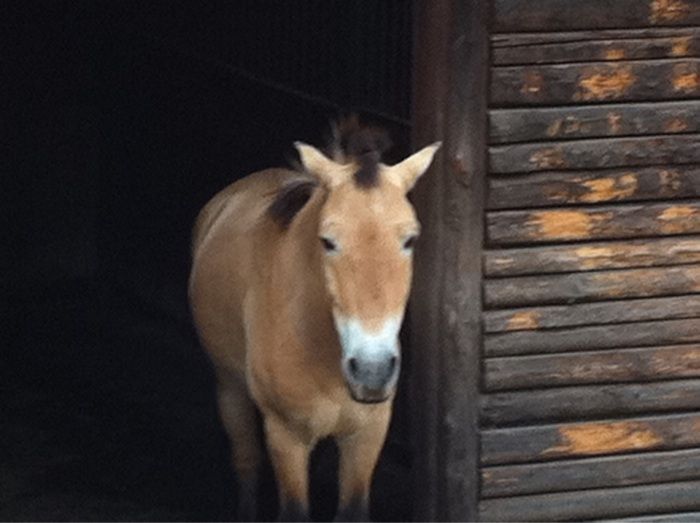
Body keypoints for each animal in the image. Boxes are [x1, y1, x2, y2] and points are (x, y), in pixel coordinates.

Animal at [187, 121, 438, 520]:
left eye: (410, 239)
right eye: (328, 241)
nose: (372, 370)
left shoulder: (367, 434)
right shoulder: (286, 435)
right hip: (230, 389)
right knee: (246, 461)